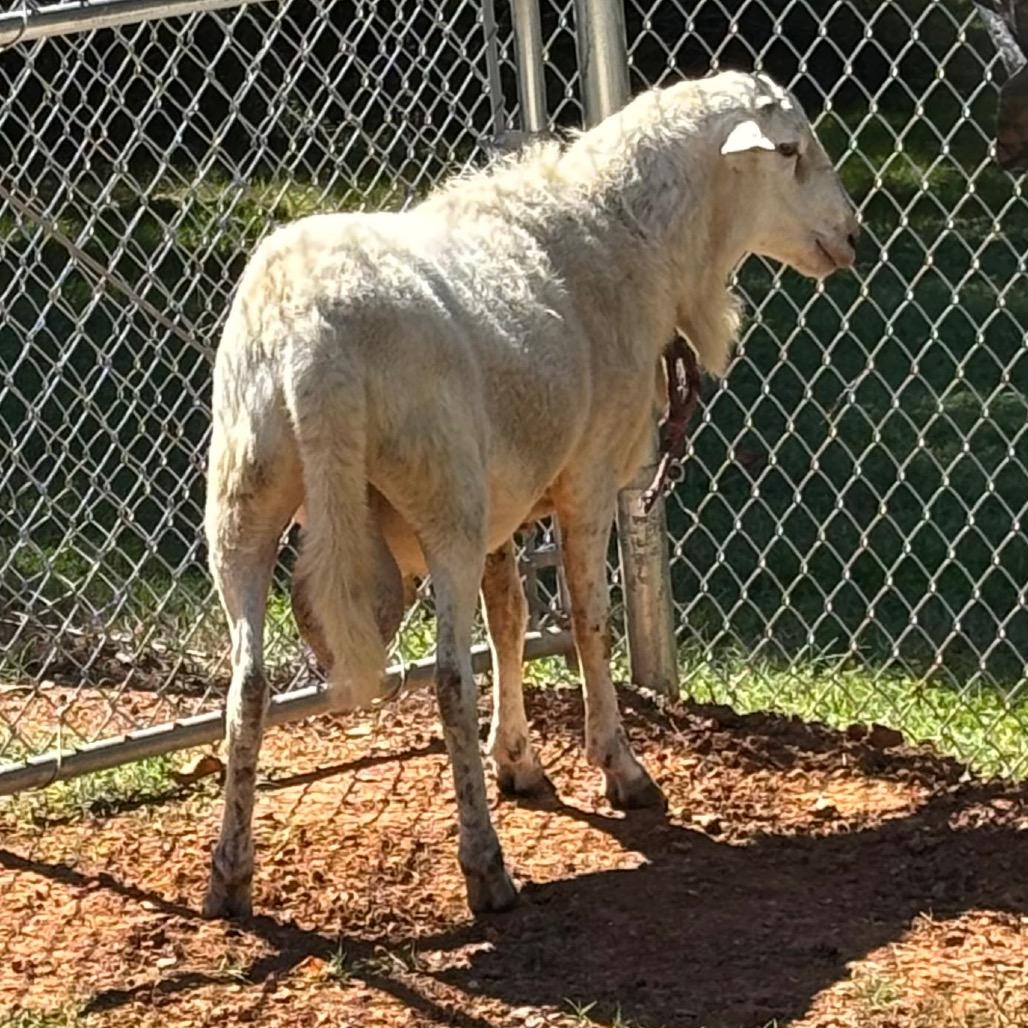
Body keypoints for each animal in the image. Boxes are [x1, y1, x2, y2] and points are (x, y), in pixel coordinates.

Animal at [202, 69, 859, 920]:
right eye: (789, 152)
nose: (854, 237)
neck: (630, 235)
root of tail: (310, 336)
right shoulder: (585, 481)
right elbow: (587, 624)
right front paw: (620, 768)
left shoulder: (504, 503)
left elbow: (512, 623)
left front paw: (516, 761)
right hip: (439, 494)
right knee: (450, 678)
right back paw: (486, 867)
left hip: (245, 496)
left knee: (247, 686)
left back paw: (229, 876)